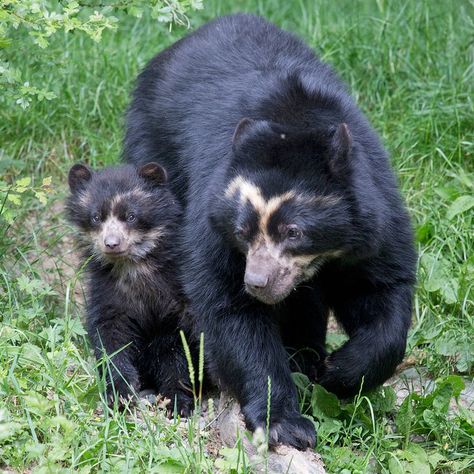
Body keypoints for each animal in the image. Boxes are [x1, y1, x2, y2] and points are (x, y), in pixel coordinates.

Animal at [124, 12, 416, 448]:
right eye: (242, 231)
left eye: (294, 232)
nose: (258, 282)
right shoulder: (212, 214)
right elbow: (229, 308)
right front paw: (287, 422)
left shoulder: (376, 208)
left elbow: (382, 287)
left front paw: (339, 371)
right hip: (154, 156)